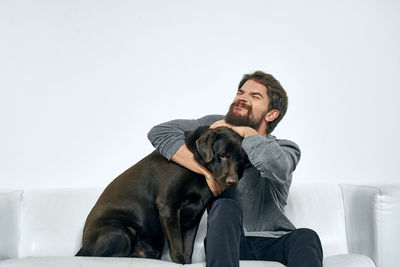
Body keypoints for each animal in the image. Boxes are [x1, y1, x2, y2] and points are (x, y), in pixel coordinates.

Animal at [76, 126, 245, 264]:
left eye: (240, 160)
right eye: (222, 155)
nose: (232, 181)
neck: (199, 171)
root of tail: (82, 248)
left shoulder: (194, 217)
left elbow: (188, 250)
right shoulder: (167, 206)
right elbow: (177, 249)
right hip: (121, 232)